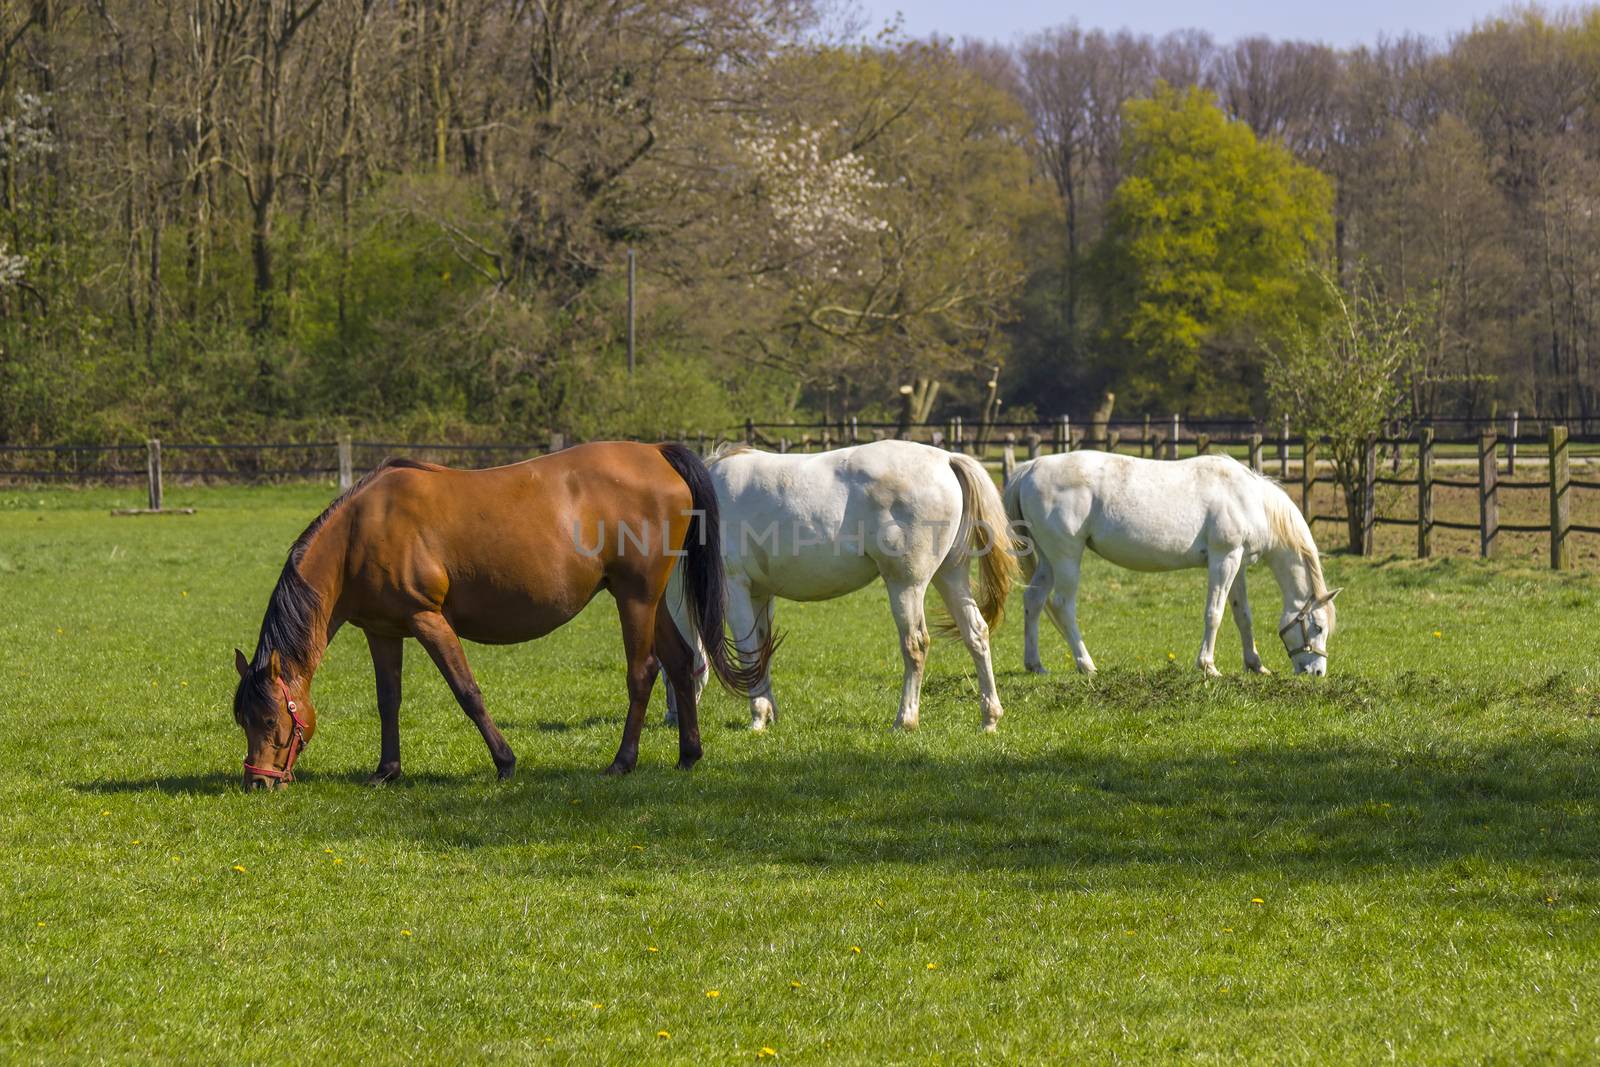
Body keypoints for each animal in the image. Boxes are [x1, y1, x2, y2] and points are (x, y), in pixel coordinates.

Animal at [230, 438, 768, 790]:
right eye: (243, 720)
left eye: (273, 720)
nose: (258, 782)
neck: (361, 532)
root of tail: (656, 451)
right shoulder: (383, 631)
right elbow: (388, 701)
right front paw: (386, 771)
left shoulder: (428, 620)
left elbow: (467, 692)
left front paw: (505, 762)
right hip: (648, 600)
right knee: (680, 662)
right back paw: (688, 754)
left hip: (635, 598)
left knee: (643, 672)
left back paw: (622, 761)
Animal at [665, 441, 1017, 735]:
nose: (670, 719)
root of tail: (946, 458)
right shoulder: (760, 594)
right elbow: (763, 650)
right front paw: (770, 713)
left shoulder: (735, 588)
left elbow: (749, 652)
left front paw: (758, 717)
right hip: (951, 576)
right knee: (976, 634)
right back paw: (989, 718)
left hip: (906, 585)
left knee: (915, 645)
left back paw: (905, 720)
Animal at [1011, 451, 1337, 675]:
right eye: (1318, 627)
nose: (1317, 672)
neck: (1251, 500)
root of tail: (1031, 467)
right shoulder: (1224, 559)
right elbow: (1214, 613)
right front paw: (1208, 666)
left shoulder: (1238, 564)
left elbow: (1242, 615)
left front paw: (1255, 664)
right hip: (1066, 557)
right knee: (1063, 606)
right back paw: (1086, 664)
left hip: (1049, 561)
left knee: (1033, 601)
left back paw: (1035, 664)